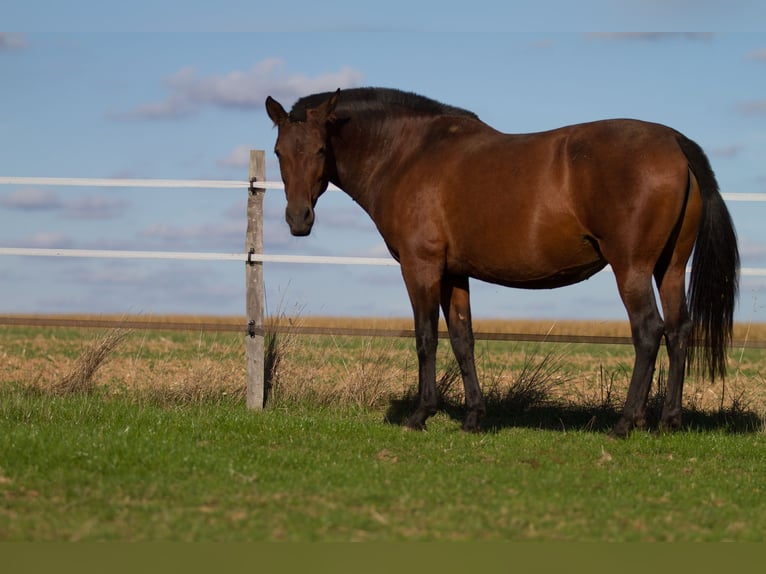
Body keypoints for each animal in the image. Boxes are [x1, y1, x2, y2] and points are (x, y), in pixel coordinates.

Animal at [268, 86, 740, 436]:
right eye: (278, 152)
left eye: (321, 149)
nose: (297, 219)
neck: (408, 153)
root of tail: (675, 142)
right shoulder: (454, 273)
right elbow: (463, 339)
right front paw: (474, 418)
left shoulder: (421, 267)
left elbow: (426, 338)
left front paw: (420, 415)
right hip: (670, 267)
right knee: (679, 330)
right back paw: (669, 421)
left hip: (633, 268)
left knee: (648, 331)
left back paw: (625, 423)